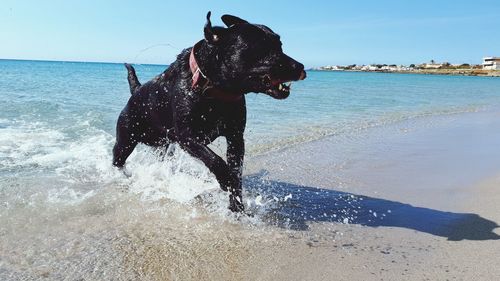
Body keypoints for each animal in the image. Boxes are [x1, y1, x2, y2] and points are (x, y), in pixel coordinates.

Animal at [114, 12, 306, 211]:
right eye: (261, 47)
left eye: (280, 45)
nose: (300, 66)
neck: (214, 88)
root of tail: (136, 90)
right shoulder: (187, 136)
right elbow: (214, 159)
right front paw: (226, 180)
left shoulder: (236, 137)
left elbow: (236, 170)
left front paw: (237, 206)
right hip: (126, 138)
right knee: (118, 159)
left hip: (162, 145)